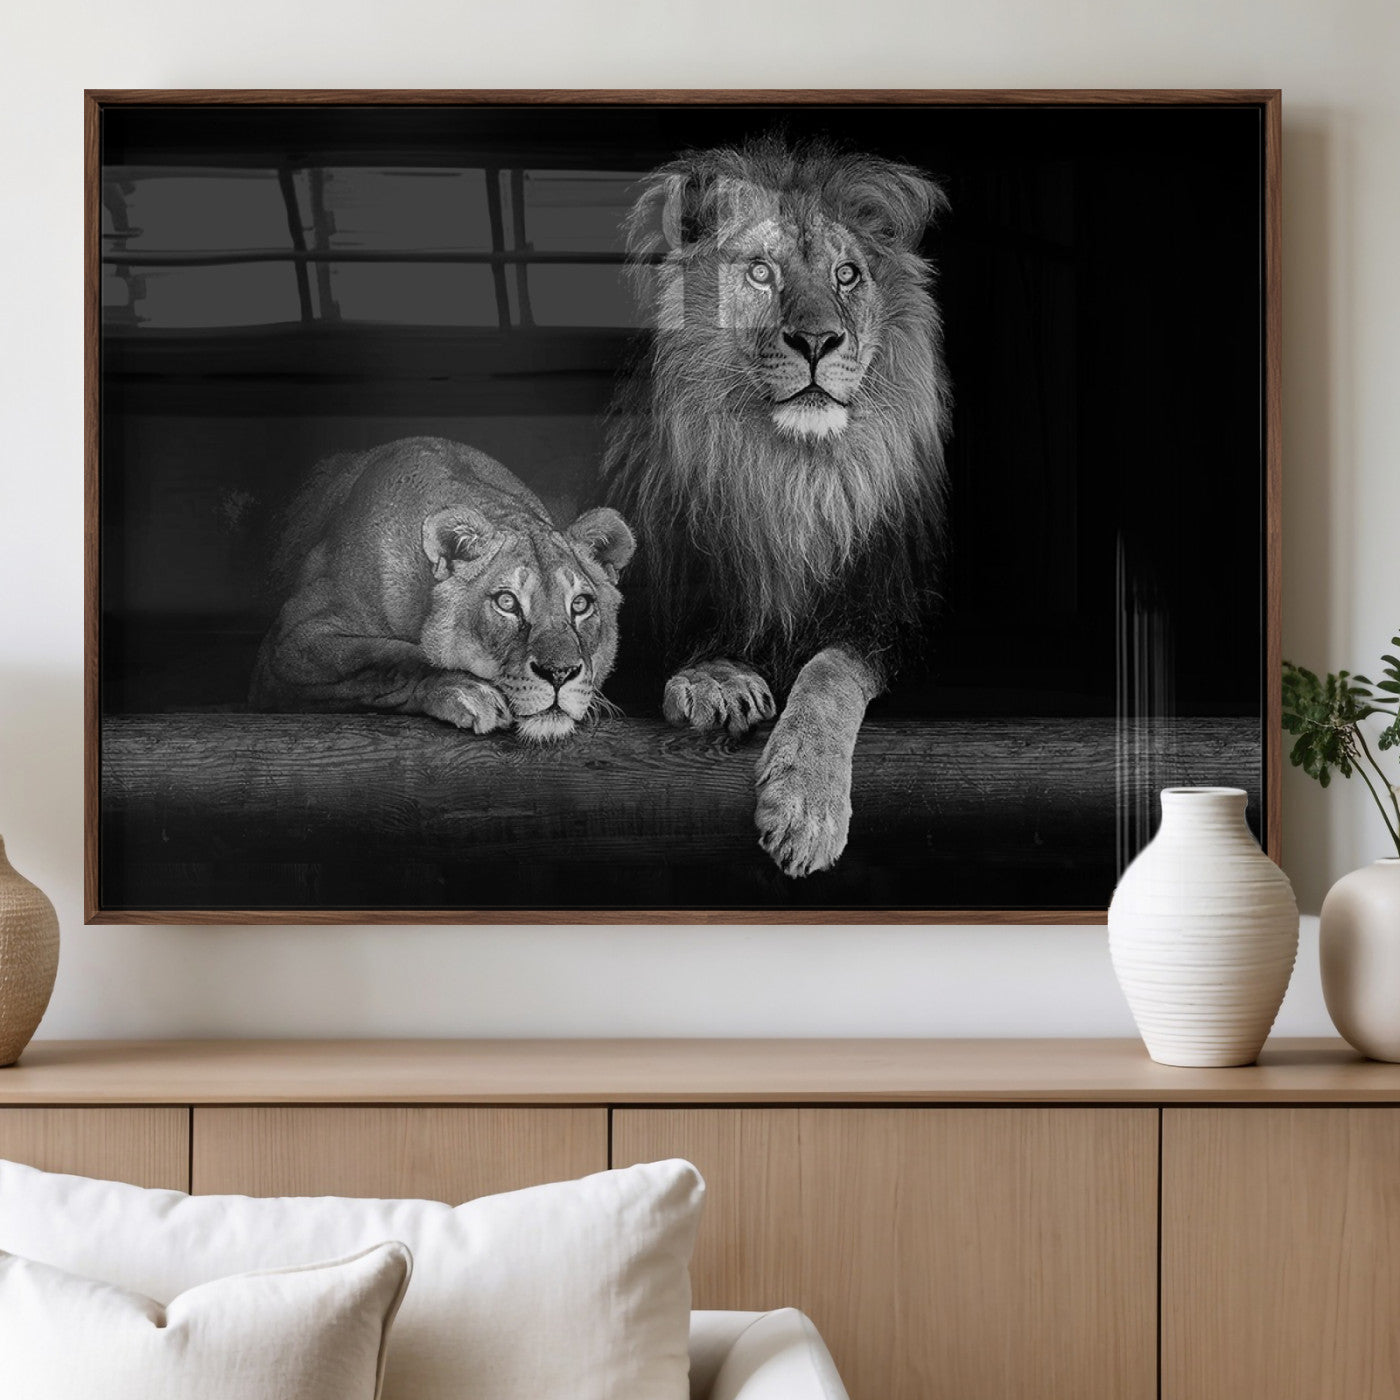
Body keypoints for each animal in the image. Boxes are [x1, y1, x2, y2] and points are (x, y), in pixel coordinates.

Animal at [250, 437, 635, 743]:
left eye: (581, 604)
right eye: (507, 602)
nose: (560, 674)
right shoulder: (289, 643)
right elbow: (390, 659)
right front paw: (468, 690)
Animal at [602, 135, 951, 876]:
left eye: (847, 275)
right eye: (761, 273)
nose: (817, 341)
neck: (789, 475)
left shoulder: (891, 616)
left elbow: (829, 671)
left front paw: (806, 807)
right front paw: (715, 680)